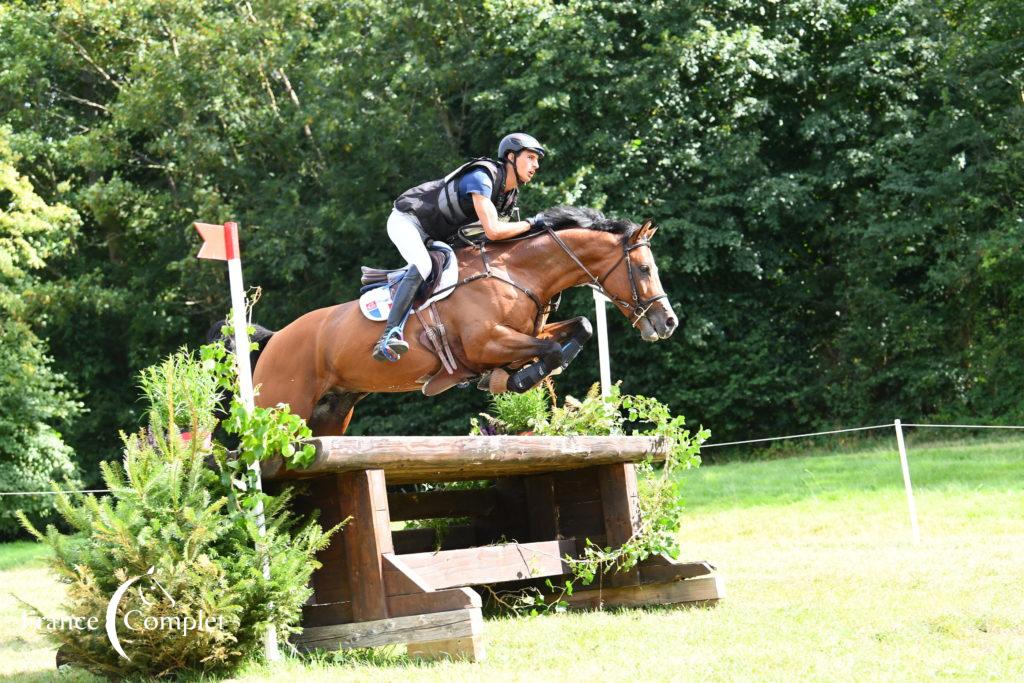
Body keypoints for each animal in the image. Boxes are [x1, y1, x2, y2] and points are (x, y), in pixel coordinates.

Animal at [249, 205, 679, 436]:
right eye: (644, 269)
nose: (668, 322)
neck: (515, 272)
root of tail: (276, 338)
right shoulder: (485, 343)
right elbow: (551, 349)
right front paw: (516, 378)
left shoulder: (525, 332)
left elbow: (580, 329)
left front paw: (515, 375)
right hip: (281, 407)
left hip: (331, 413)